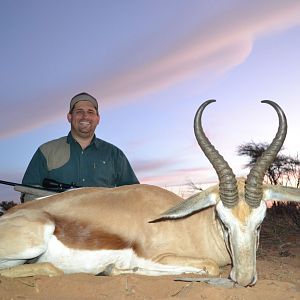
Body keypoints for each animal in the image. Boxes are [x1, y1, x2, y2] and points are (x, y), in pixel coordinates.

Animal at [0, 100, 300, 286]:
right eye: (223, 222)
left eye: (260, 223)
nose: (245, 279)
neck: (189, 225)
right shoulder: (160, 257)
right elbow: (210, 266)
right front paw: (115, 269)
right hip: (34, 243)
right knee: (46, 268)